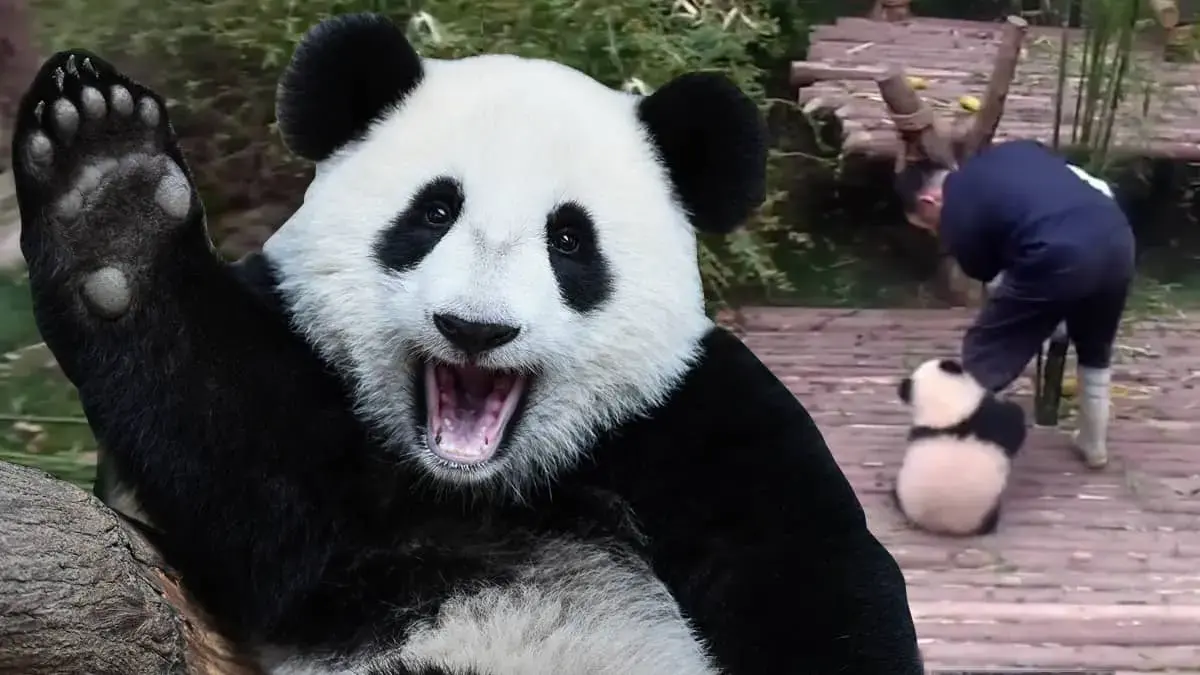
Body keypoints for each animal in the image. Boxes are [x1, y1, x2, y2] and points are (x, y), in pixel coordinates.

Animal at [11, 13, 924, 675]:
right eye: (434, 212)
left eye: (569, 240)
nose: (476, 328)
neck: (479, 485)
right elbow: (254, 470)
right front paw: (110, 192)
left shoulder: (693, 414)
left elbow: (811, 576)